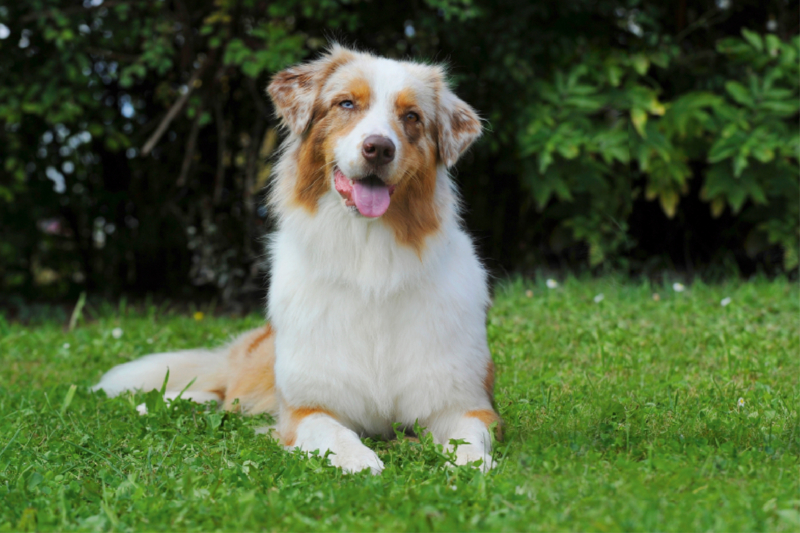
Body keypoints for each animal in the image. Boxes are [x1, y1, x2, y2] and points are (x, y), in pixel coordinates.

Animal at [95, 43, 500, 472]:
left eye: (412, 117)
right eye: (346, 103)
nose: (379, 148)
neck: (369, 263)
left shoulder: (465, 403)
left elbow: (469, 437)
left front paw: (472, 465)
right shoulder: (304, 407)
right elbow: (333, 432)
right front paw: (360, 461)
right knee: (224, 387)